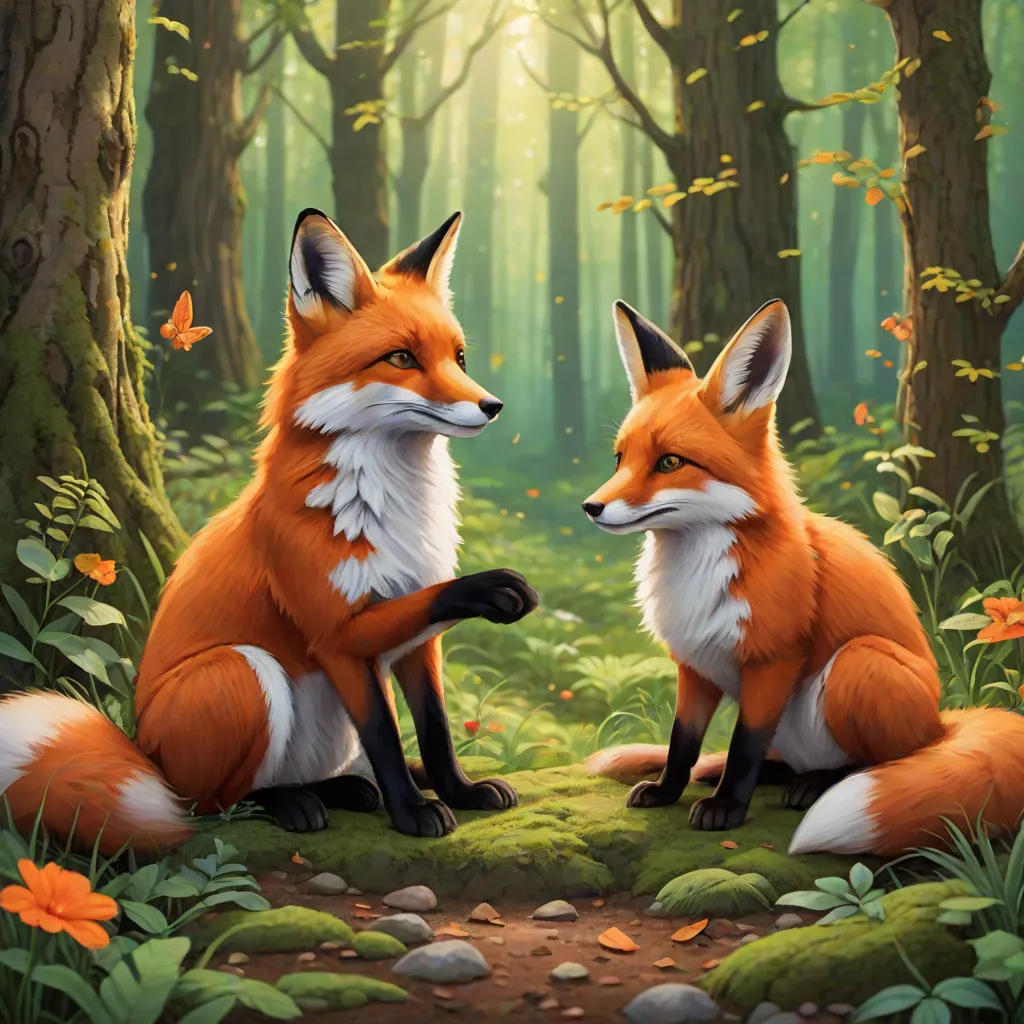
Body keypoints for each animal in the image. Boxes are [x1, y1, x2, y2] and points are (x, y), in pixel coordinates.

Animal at [0, 209, 538, 854]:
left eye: (458, 357)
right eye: (402, 359)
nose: (493, 405)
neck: (395, 511)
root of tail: (144, 752)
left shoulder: (418, 640)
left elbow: (434, 731)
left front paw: (458, 790)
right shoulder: (337, 635)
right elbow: (386, 734)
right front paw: (412, 813)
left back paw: (348, 789)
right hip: (244, 673)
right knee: (205, 805)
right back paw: (292, 803)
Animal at [583, 298, 1024, 856]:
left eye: (669, 462)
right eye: (620, 458)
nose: (591, 507)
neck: (697, 575)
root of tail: (942, 724)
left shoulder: (774, 658)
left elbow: (744, 745)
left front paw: (727, 808)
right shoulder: (694, 663)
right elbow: (682, 742)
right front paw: (667, 791)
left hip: (858, 666)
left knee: (877, 763)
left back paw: (816, 785)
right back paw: (775, 775)